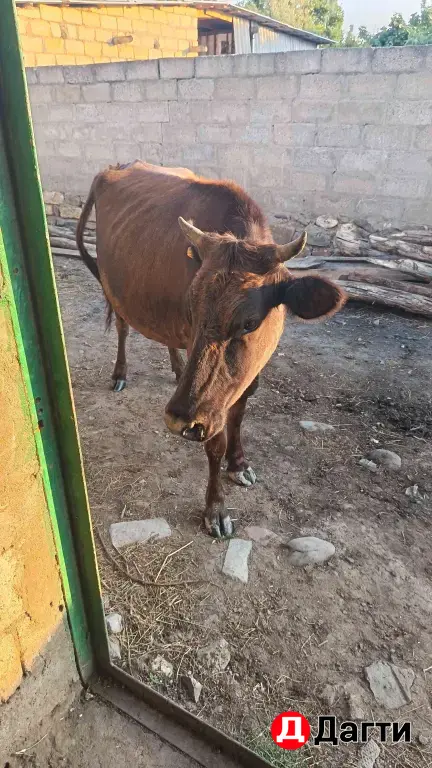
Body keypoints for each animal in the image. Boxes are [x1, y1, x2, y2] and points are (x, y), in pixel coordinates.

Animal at [77, 160, 346, 538]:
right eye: (191, 309)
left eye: (249, 322)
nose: (178, 419)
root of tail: (114, 168)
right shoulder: (209, 407)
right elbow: (215, 441)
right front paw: (215, 509)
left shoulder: (242, 381)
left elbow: (239, 415)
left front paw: (239, 463)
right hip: (113, 287)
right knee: (122, 325)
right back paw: (120, 373)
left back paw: (177, 368)